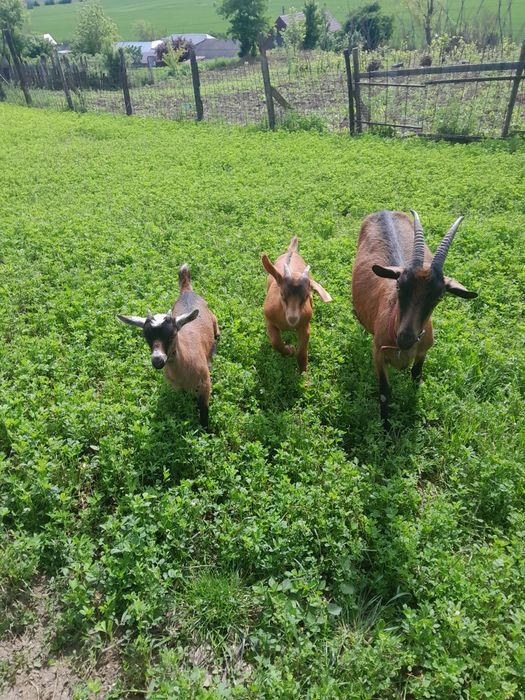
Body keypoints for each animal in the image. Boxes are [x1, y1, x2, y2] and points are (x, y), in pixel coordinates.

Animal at [118, 264, 219, 428]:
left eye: (172, 335)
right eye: (146, 337)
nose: (157, 360)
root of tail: (187, 291)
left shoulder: (205, 385)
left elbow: (203, 409)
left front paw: (206, 430)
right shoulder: (177, 388)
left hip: (212, 314)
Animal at [262, 236, 332, 372]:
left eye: (306, 296)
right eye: (282, 294)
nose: (293, 318)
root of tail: (291, 252)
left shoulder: (304, 326)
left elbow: (302, 351)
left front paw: (303, 371)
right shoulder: (270, 321)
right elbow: (275, 342)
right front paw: (289, 350)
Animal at [352, 210, 477, 428]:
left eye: (439, 296)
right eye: (399, 285)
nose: (405, 338)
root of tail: (385, 211)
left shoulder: (422, 353)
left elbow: (416, 378)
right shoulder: (378, 355)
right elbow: (384, 393)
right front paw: (386, 430)